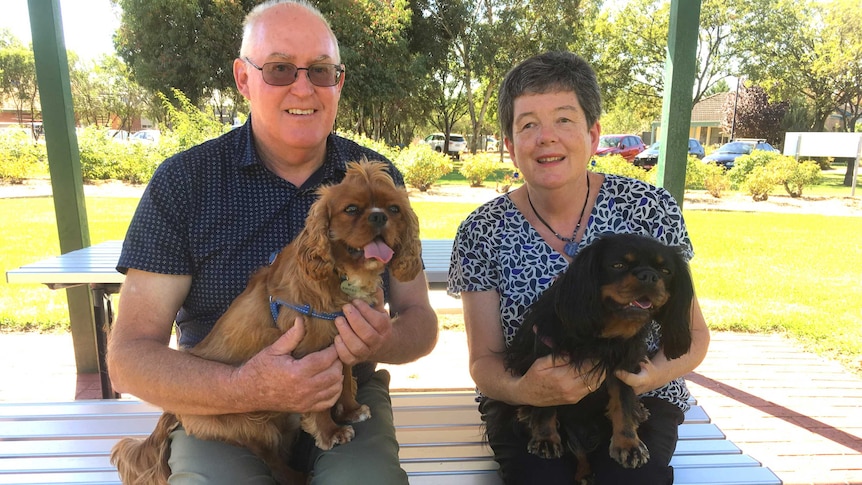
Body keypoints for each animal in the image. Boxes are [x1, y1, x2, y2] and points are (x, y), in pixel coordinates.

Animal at [492, 233, 696, 482]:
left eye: (666, 271)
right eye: (618, 266)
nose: (649, 276)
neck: (602, 334)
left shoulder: (624, 366)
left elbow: (623, 403)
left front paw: (628, 444)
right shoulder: (543, 360)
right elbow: (546, 403)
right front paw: (545, 439)